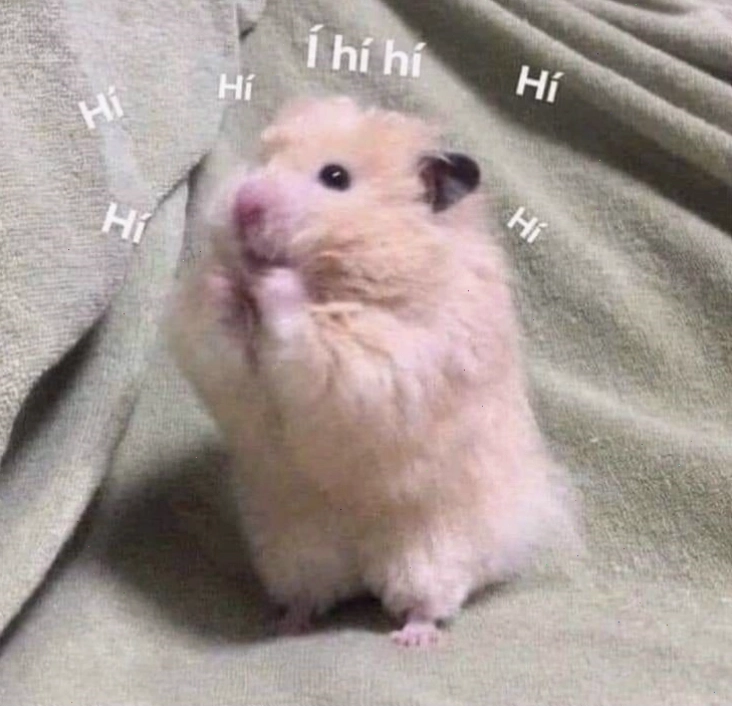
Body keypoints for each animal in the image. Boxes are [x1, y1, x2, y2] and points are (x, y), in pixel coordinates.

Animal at [167, 96, 576, 647]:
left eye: (335, 177)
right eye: (262, 160)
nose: (245, 204)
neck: (335, 280)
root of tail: (361, 567)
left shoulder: (386, 361)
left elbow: (310, 333)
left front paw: (273, 281)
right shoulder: (214, 357)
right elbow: (215, 327)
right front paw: (221, 281)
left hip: (430, 548)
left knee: (427, 600)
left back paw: (413, 637)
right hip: (294, 546)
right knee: (312, 593)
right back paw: (288, 623)